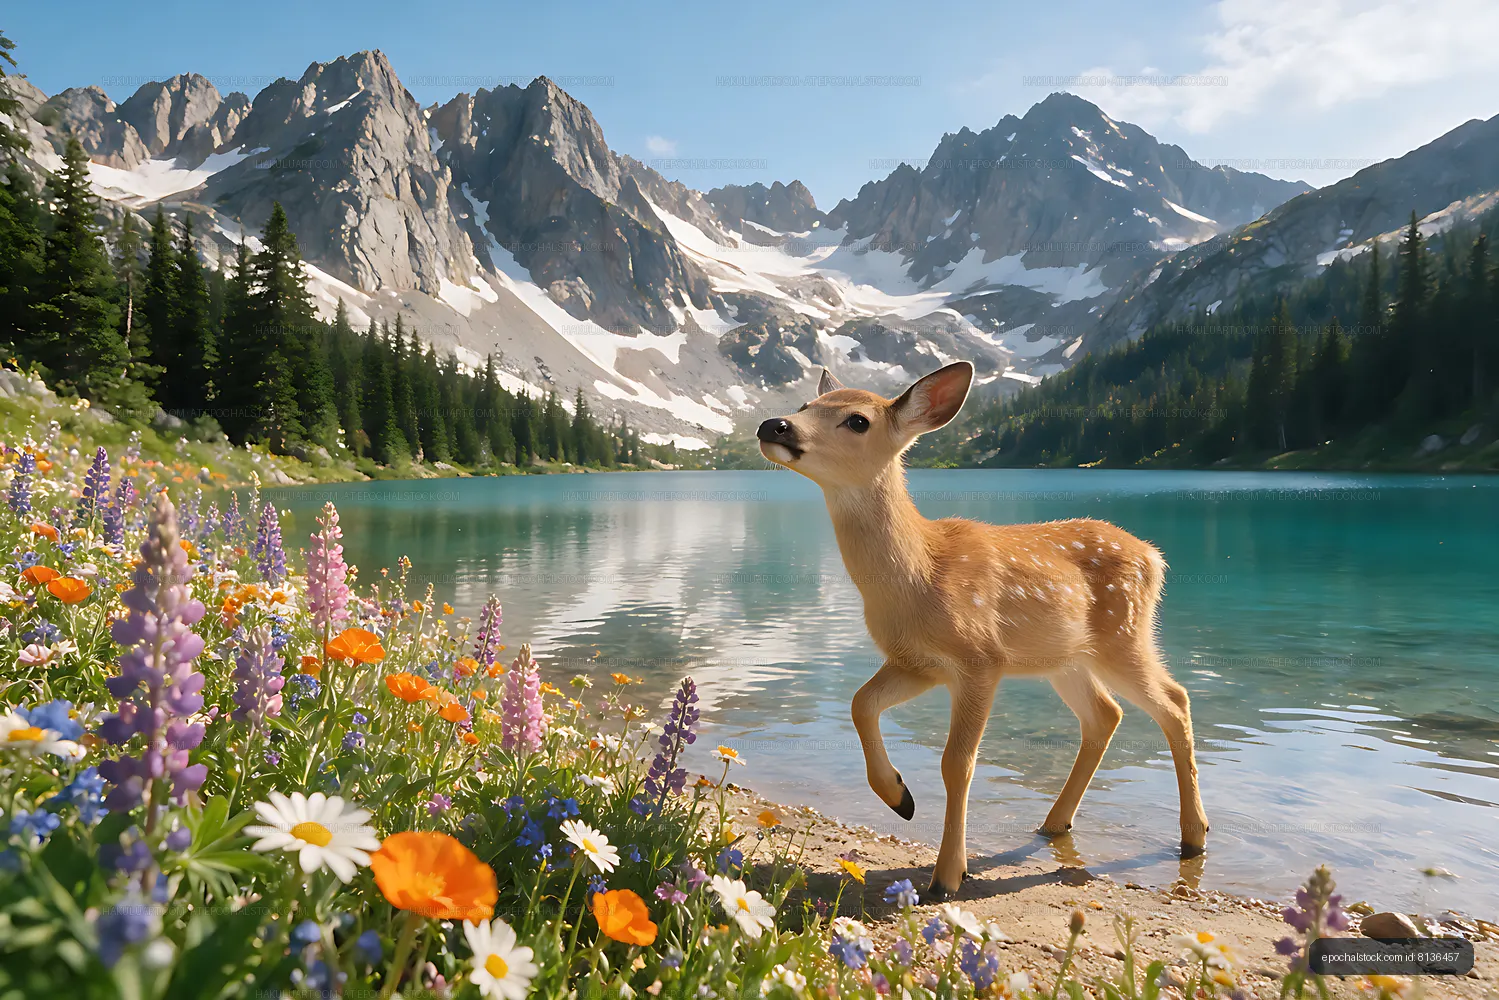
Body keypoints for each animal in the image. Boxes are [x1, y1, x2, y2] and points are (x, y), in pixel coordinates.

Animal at [756, 361, 1208, 900]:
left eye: (858, 420)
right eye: (806, 405)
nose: (774, 425)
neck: (920, 576)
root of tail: (1155, 557)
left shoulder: (980, 660)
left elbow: (957, 763)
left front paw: (948, 875)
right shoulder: (916, 662)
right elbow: (860, 704)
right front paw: (899, 796)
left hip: (1123, 636)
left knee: (1175, 702)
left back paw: (1194, 836)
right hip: (1064, 658)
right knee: (1105, 714)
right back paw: (1054, 822)